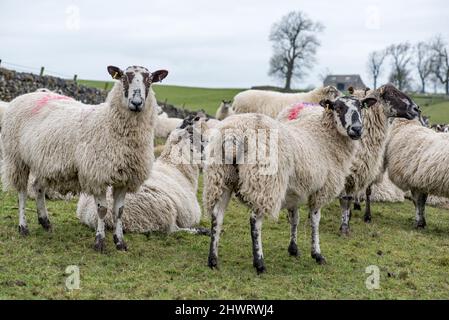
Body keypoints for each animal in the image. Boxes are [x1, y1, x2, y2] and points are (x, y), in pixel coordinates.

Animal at [1, 64, 168, 252]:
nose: (137, 103)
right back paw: (23, 227)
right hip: (16, 158)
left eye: (150, 80)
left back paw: (45, 222)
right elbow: (102, 210)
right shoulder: (97, 175)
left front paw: (120, 242)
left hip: (43, 162)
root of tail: (25, 96)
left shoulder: (124, 178)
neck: (109, 124)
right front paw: (99, 242)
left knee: (37, 187)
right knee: (22, 193)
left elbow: (119, 211)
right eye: (124, 78)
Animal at [77, 114, 210, 234]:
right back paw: (200, 231)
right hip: (163, 210)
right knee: (172, 229)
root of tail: (93, 216)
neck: (177, 167)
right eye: (196, 138)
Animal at [202, 95, 374, 272]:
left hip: (221, 177)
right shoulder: (320, 190)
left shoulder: (296, 190)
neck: (325, 136)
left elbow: (294, 218)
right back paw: (259, 263)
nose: (357, 129)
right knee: (255, 221)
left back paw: (213, 260)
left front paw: (293, 249)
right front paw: (317, 254)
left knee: (217, 216)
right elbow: (315, 220)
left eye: (361, 106)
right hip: (265, 182)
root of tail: (234, 133)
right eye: (338, 108)